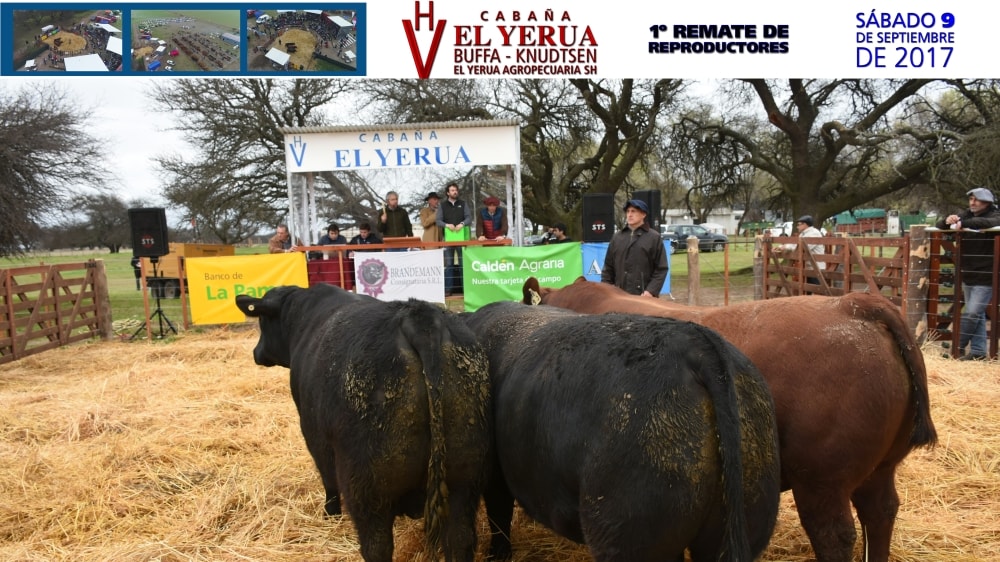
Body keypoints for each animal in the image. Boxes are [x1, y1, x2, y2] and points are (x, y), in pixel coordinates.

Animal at [239, 284, 496, 560]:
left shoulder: (314, 436)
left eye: (262, 322)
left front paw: (330, 515)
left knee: (377, 545)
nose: (256, 353)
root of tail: (418, 316)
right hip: (464, 476)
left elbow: (328, 480)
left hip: (367, 484)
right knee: (460, 540)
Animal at [464, 302, 784, 560]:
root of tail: (696, 345)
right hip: (749, 502)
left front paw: (498, 555)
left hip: (626, 520)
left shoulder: (495, 473)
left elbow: (499, 513)